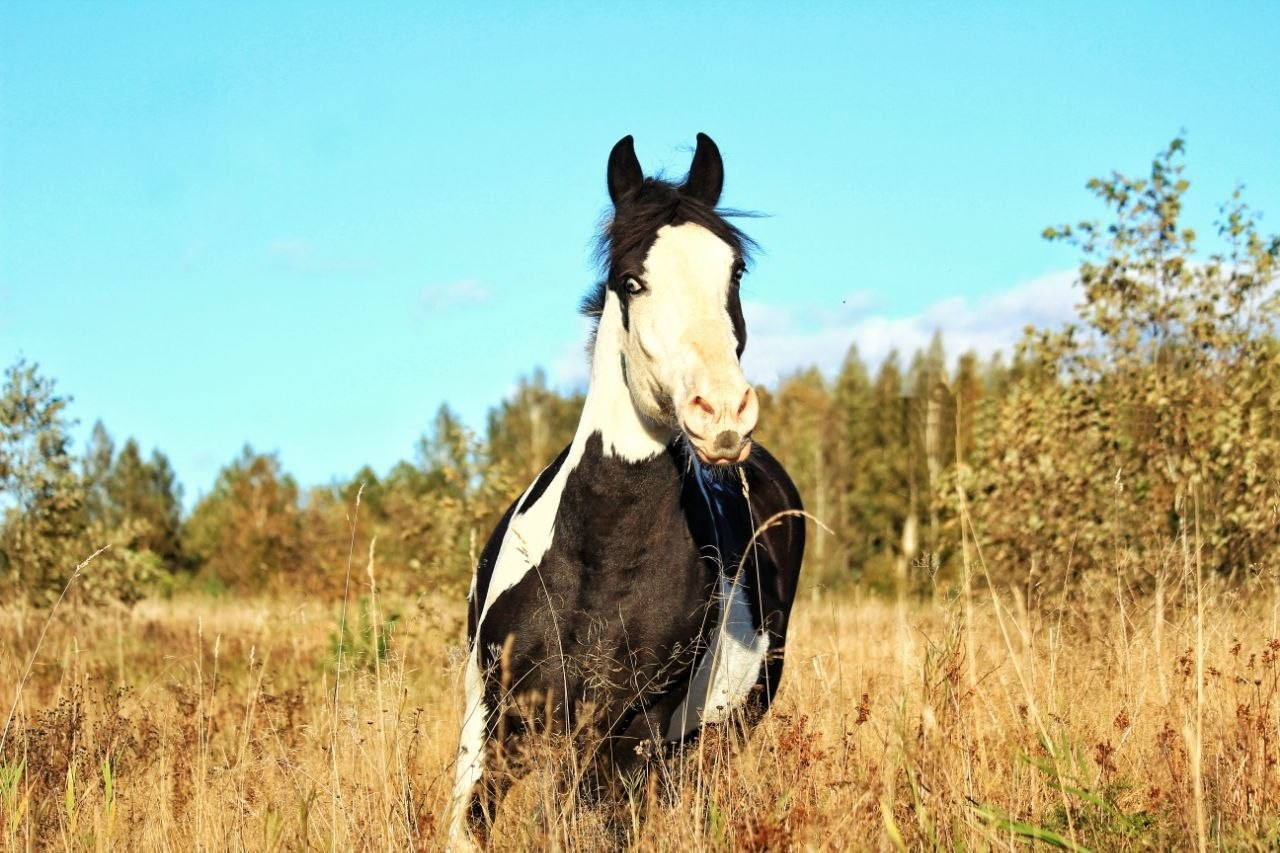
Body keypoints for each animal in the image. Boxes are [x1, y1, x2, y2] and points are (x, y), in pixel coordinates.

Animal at [447, 133, 805, 845]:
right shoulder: (495, 719)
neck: (597, 557)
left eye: (735, 273)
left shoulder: (629, 732)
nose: (722, 415)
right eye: (631, 281)